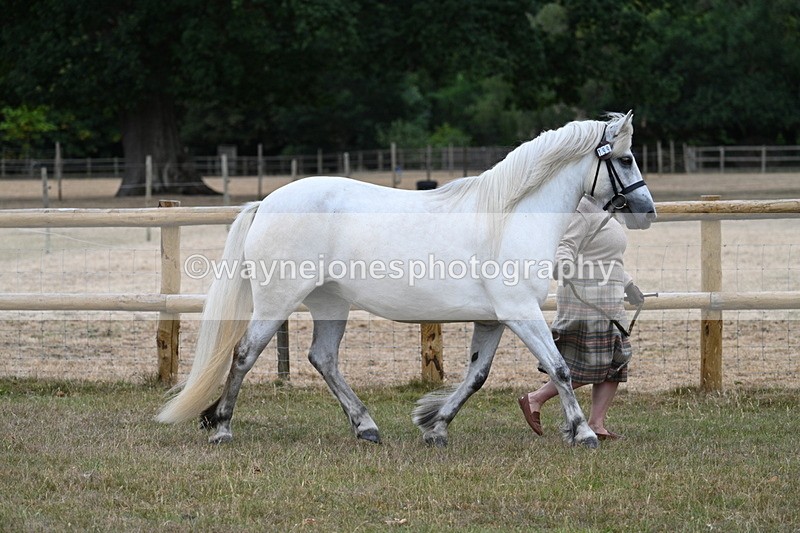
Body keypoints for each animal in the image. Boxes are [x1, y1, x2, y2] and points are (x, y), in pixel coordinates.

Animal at [156, 111, 656, 448]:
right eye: (626, 158)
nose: (647, 211)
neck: (510, 217)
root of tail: (267, 202)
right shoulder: (521, 313)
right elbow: (560, 368)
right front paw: (583, 432)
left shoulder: (494, 319)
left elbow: (476, 375)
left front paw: (435, 426)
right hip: (277, 301)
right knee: (244, 355)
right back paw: (222, 426)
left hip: (330, 304)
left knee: (323, 358)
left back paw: (367, 427)